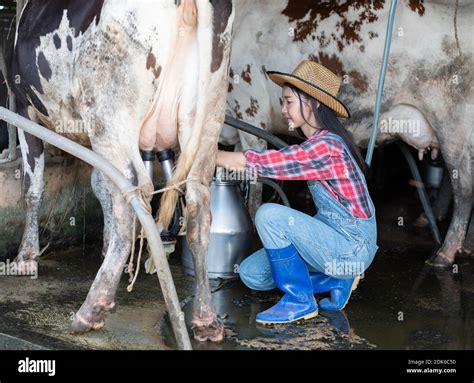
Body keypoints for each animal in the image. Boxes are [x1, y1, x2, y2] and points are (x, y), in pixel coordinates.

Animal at [6, 0, 236, 342]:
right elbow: (100, 186)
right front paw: (104, 243)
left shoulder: (25, 109)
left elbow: (33, 187)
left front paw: (25, 257)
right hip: (207, 115)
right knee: (197, 205)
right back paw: (205, 320)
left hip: (110, 113)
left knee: (133, 195)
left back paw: (91, 310)